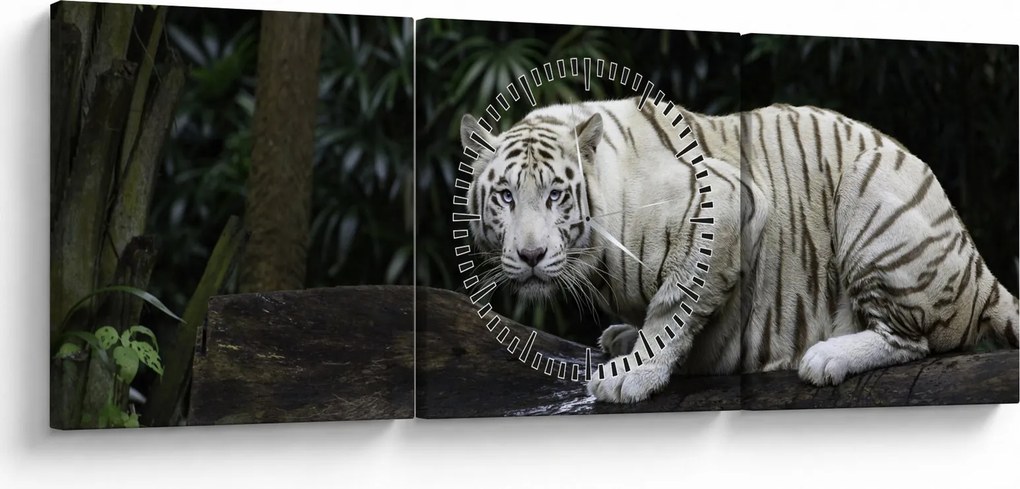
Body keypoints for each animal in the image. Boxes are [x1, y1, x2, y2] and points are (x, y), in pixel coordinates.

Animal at [459, 97, 1020, 404]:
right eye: (505, 196)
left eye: (556, 194)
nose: (531, 255)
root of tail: (979, 268)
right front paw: (625, 341)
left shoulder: (729, 203)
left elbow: (674, 307)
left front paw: (633, 375)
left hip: (871, 194)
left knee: (915, 341)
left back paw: (826, 356)